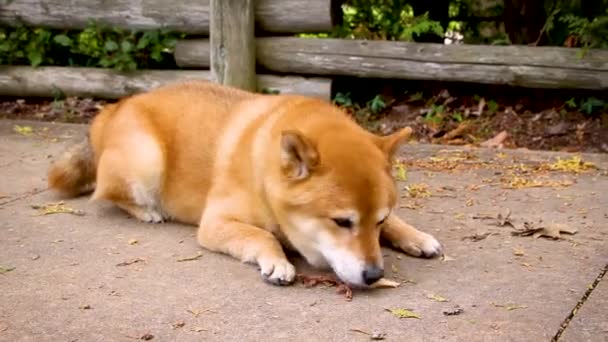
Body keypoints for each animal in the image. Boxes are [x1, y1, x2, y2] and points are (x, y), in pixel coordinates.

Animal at [45, 81, 440, 288]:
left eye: (379, 221)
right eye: (342, 222)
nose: (374, 275)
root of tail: (113, 109)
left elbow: (400, 224)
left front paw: (416, 237)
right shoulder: (216, 223)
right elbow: (261, 236)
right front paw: (276, 260)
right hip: (147, 159)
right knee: (109, 194)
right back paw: (147, 211)